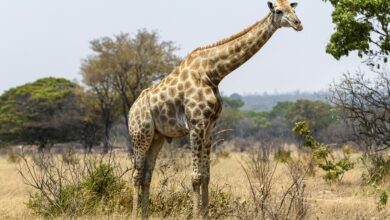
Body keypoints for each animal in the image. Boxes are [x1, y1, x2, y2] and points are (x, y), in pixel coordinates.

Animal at [129, 0, 304, 218]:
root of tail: (131, 110)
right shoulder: (196, 123)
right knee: (136, 175)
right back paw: (134, 215)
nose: (298, 24)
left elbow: (206, 175)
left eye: (293, 7)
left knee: (146, 174)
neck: (213, 73)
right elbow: (196, 176)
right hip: (140, 135)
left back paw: (145, 214)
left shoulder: (210, 124)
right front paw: (197, 215)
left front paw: (205, 214)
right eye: (279, 11)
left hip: (157, 137)